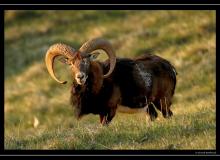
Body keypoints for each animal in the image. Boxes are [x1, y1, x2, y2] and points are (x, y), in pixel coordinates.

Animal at [44, 37, 177, 125]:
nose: (80, 77)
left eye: (86, 61)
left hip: (162, 101)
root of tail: (170, 67)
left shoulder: (109, 111)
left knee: (168, 114)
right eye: (71, 63)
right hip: (149, 106)